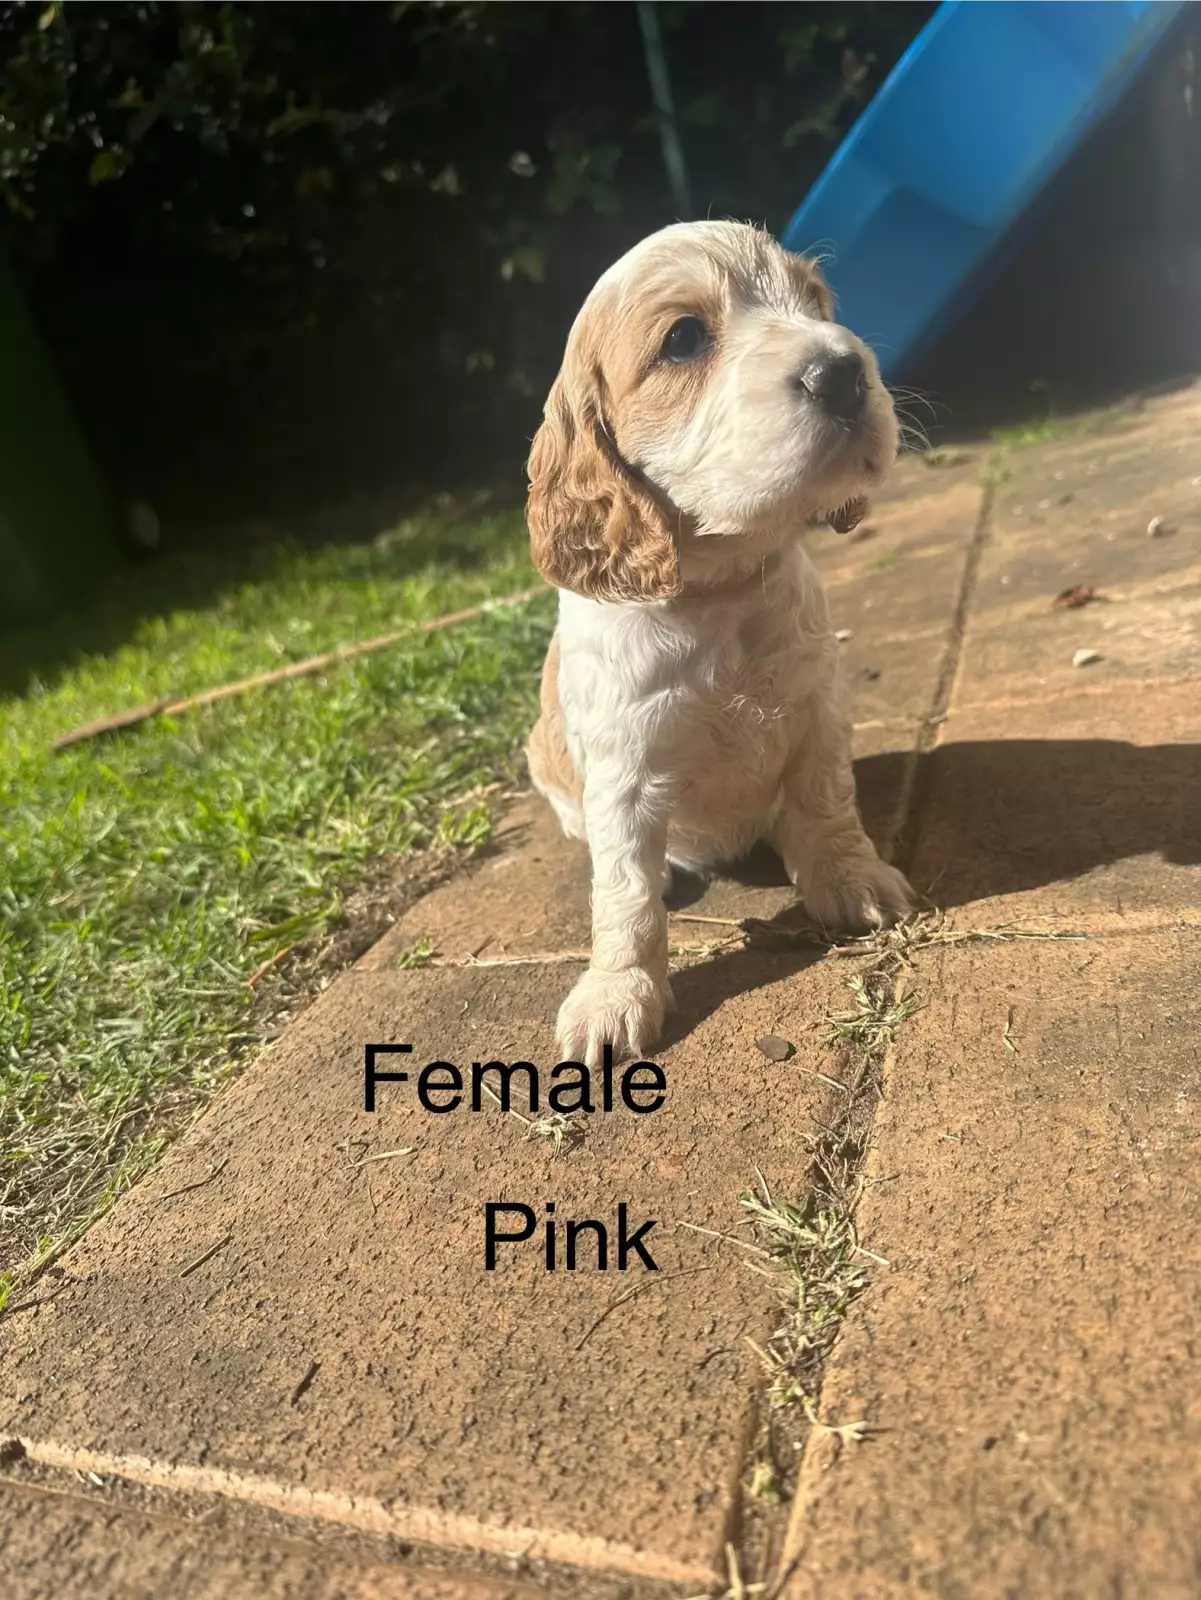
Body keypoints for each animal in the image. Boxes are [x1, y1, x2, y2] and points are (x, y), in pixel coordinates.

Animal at [525, 220, 913, 1066]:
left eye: (815, 302)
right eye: (683, 339)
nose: (844, 371)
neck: (722, 591)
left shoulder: (817, 710)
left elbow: (825, 802)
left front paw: (850, 879)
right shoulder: (625, 772)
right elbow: (625, 895)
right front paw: (616, 992)